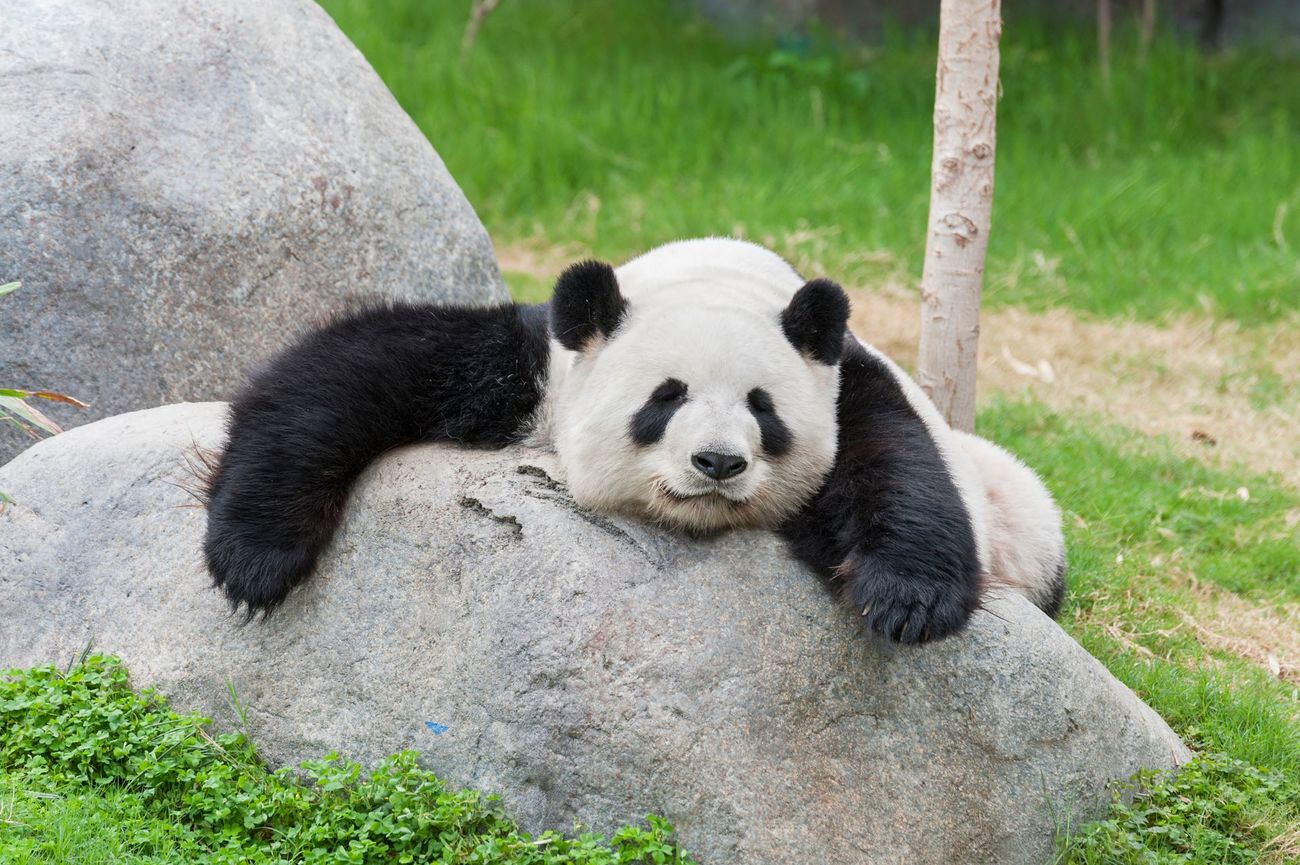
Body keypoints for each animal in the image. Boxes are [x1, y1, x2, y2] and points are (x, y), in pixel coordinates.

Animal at [205, 236, 1066, 639]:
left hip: (1024, 520)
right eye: (665, 396)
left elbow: (897, 462)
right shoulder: (535, 366)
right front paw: (255, 556)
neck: (718, 274)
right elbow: (354, 369)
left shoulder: (847, 379)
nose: (717, 462)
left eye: (763, 408)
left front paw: (906, 598)